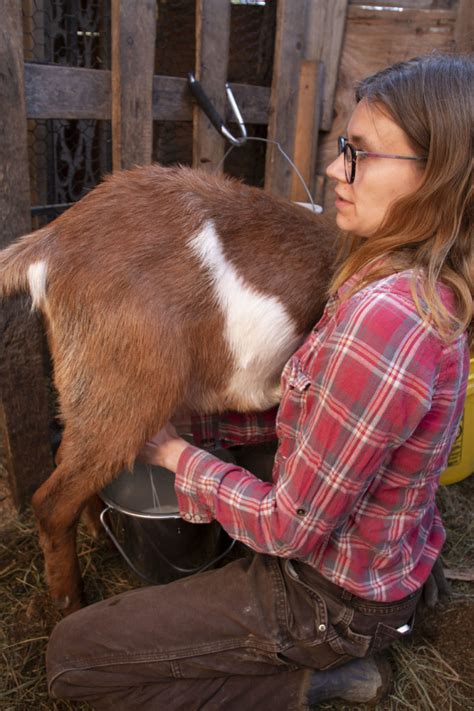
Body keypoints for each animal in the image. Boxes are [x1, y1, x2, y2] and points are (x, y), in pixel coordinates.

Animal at [1, 165, 338, 612]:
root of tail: (53, 242)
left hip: (88, 390)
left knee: (65, 460)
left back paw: (97, 533)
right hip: (128, 394)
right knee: (51, 502)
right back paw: (71, 603)